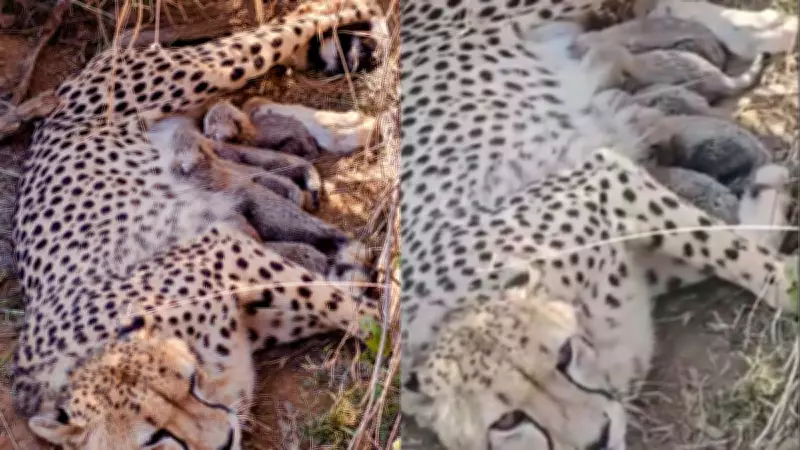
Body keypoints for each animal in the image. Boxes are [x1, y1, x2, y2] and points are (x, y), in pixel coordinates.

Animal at [9, 0, 387, 448]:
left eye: (189, 383)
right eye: (153, 439)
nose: (223, 440)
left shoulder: (223, 250)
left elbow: (340, 303)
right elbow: (333, 300)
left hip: (207, 69)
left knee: (299, 21)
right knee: (255, 101)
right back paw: (350, 129)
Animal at [397, 2, 797, 450]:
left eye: (564, 355)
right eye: (507, 420)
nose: (597, 439)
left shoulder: (603, 178)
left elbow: (727, 249)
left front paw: (787, 278)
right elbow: (722, 243)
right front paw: (764, 199)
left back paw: (774, 26)